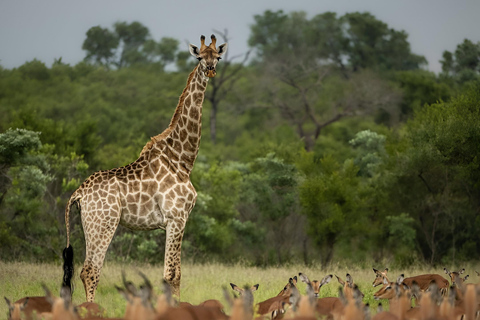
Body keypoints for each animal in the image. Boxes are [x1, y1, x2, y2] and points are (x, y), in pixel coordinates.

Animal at [62, 35, 229, 302]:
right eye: (200, 58)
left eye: (218, 57)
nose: (211, 69)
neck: (182, 158)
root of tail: (78, 193)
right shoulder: (177, 217)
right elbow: (172, 274)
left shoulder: (174, 221)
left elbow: (172, 273)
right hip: (103, 224)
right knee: (90, 271)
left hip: (89, 224)